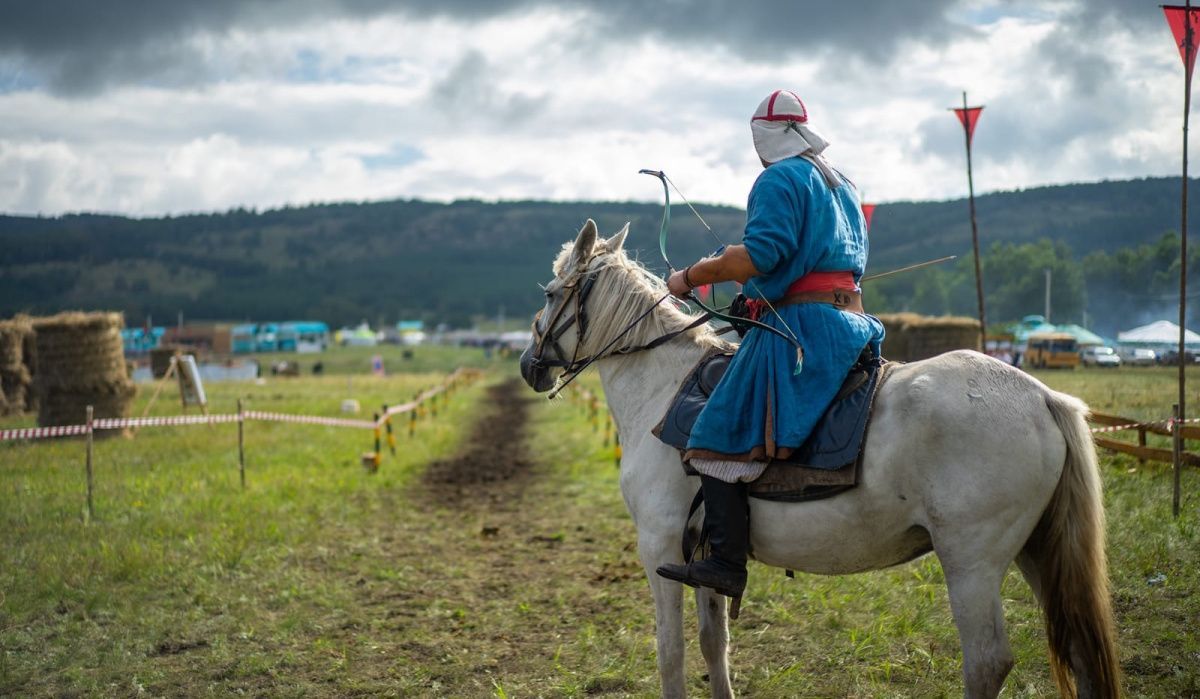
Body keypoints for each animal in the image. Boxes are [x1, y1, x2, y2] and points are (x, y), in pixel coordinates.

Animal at [520, 223, 1118, 699]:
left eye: (550, 292)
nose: (530, 366)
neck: (662, 388)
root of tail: (1043, 396)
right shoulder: (701, 554)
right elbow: (714, 645)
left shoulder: (659, 544)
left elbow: (672, 655)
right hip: (1036, 550)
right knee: (1080, 652)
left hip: (971, 562)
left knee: (988, 661)